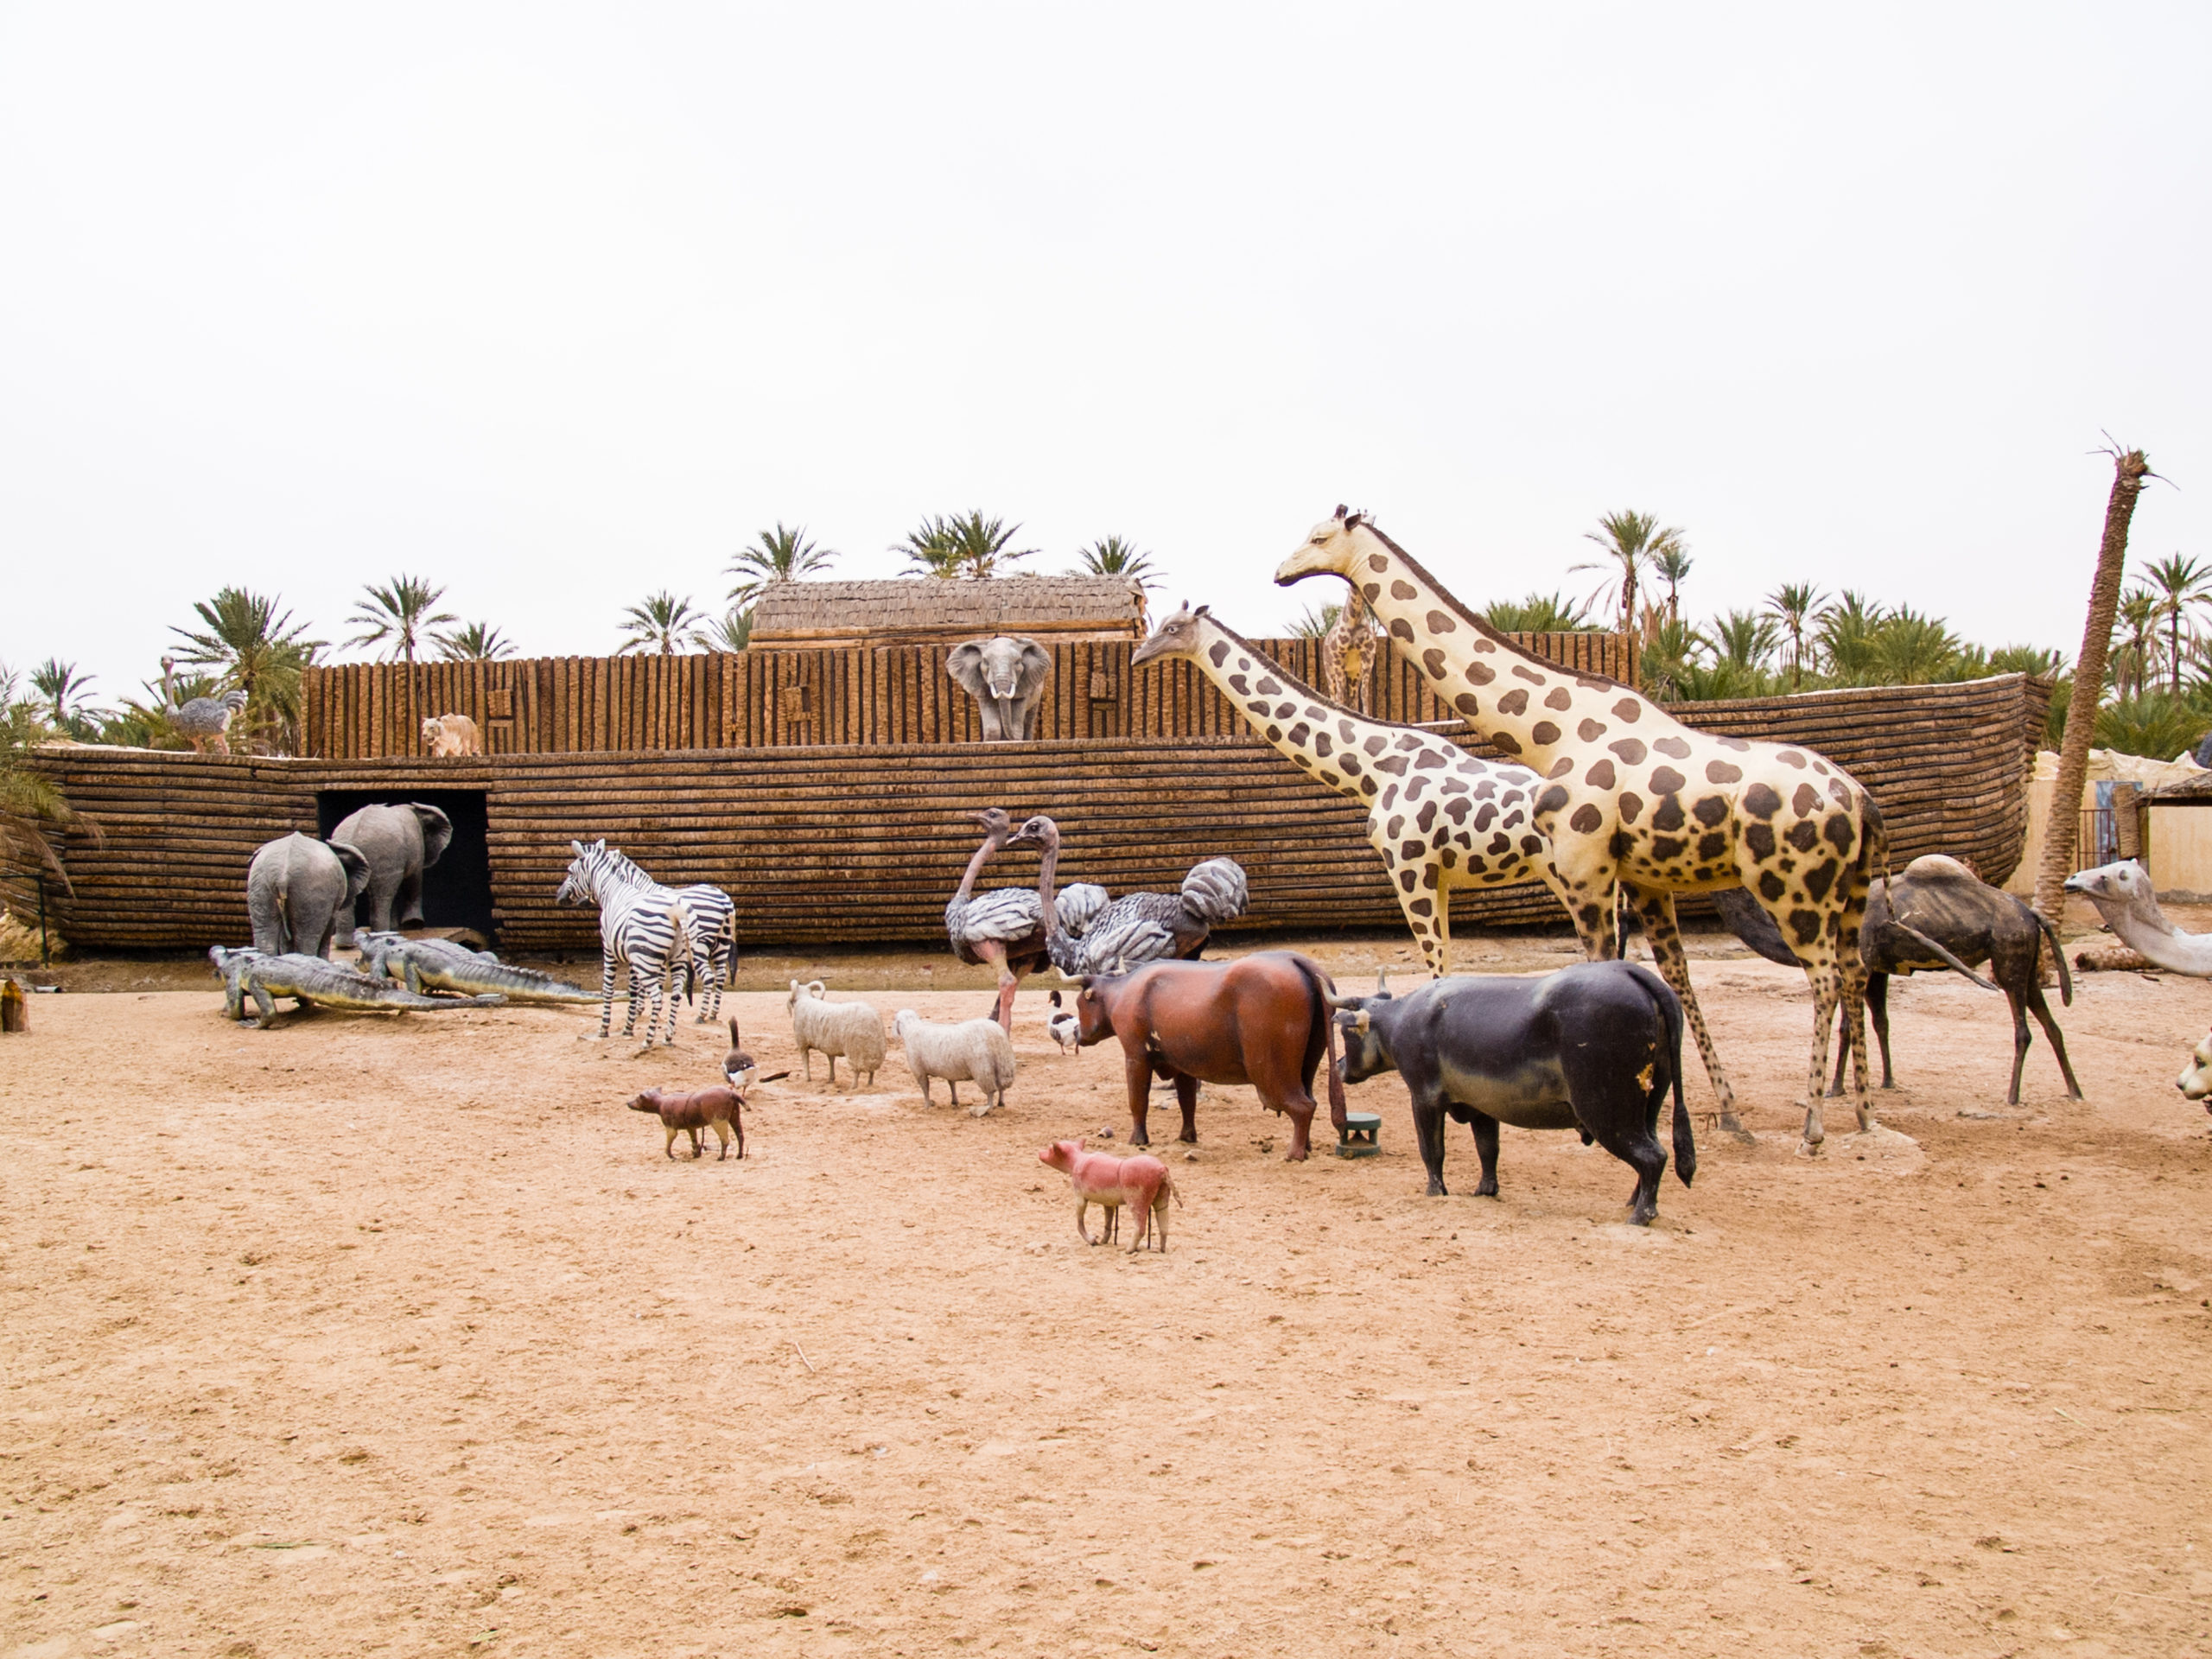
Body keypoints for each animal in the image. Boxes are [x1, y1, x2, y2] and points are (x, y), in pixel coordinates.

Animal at [553, 844, 690, 1052]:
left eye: (570, 872)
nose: (558, 896)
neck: (613, 890)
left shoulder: (609, 949)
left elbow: (608, 988)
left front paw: (604, 1028)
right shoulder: (634, 958)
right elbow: (633, 989)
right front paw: (628, 1027)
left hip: (649, 959)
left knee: (658, 997)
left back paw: (648, 1041)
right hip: (675, 958)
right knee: (675, 995)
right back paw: (667, 1038)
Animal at [779, 982, 880, 1096]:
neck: (804, 999)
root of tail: (872, 1019)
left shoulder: (802, 1044)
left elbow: (806, 1061)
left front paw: (807, 1079)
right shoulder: (830, 1045)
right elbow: (831, 1060)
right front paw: (831, 1079)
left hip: (856, 1052)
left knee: (856, 1071)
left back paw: (854, 1087)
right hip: (871, 1053)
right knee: (871, 1071)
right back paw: (870, 1084)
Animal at [889, 1008, 1017, 1123]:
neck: (911, 1028)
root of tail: (997, 1036)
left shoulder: (919, 1070)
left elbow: (925, 1088)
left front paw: (927, 1105)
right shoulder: (950, 1069)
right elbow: (952, 1084)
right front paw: (954, 1101)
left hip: (983, 1069)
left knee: (991, 1091)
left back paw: (988, 1108)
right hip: (1003, 1066)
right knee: (1001, 1087)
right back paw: (1001, 1103)